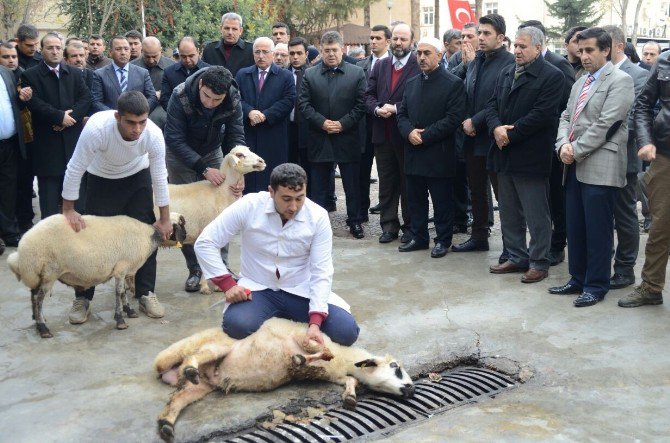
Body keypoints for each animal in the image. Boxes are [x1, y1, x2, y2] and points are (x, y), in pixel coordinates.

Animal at [6, 213, 188, 338]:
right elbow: (119, 293)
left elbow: (123, 293)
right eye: (181, 224)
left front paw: (129, 311)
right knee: (38, 299)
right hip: (49, 271)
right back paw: (43, 328)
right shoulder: (121, 267)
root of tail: (21, 253)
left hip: (40, 274)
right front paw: (120, 320)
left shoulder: (122, 269)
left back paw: (37, 320)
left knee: (33, 295)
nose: (186, 236)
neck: (149, 236)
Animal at [155, 320, 414, 442]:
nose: (411, 390)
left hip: (202, 386)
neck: (343, 359)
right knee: (193, 357)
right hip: (214, 347)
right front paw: (303, 358)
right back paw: (189, 368)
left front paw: (350, 397)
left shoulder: (334, 374)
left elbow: (350, 380)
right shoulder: (301, 335)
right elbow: (317, 349)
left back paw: (166, 425)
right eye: (396, 368)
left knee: (177, 399)